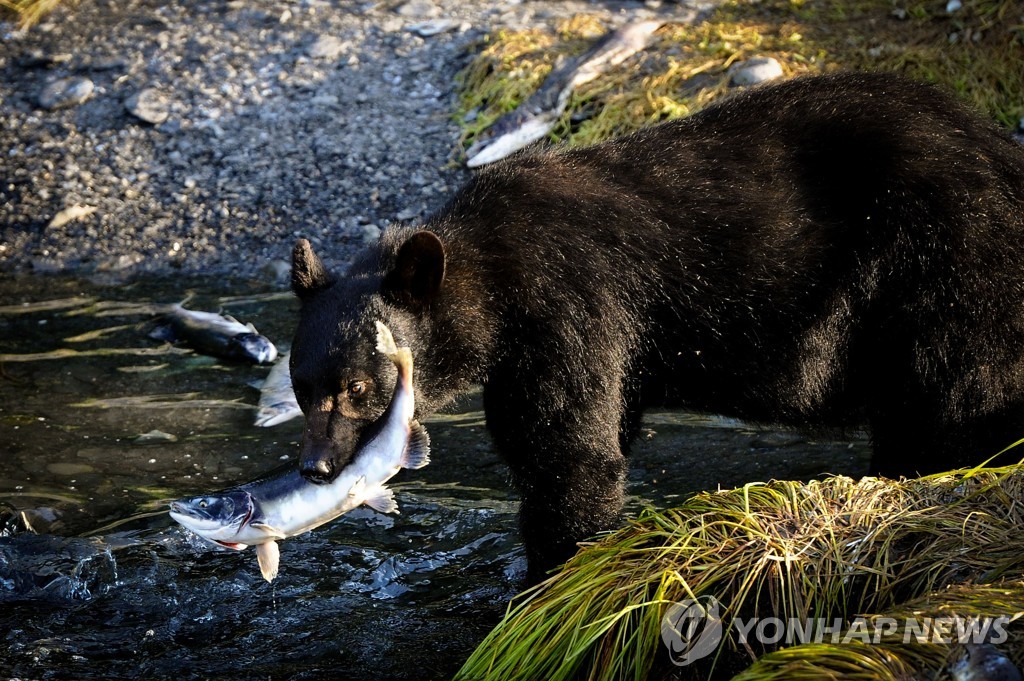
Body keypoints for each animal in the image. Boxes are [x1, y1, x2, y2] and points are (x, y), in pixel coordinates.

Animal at [286, 73, 1024, 577]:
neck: (493, 278)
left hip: (943, 265)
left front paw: (549, 574)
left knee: (953, 396)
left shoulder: (567, 307)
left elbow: (568, 453)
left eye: (357, 387)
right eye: (301, 387)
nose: (317, 468)